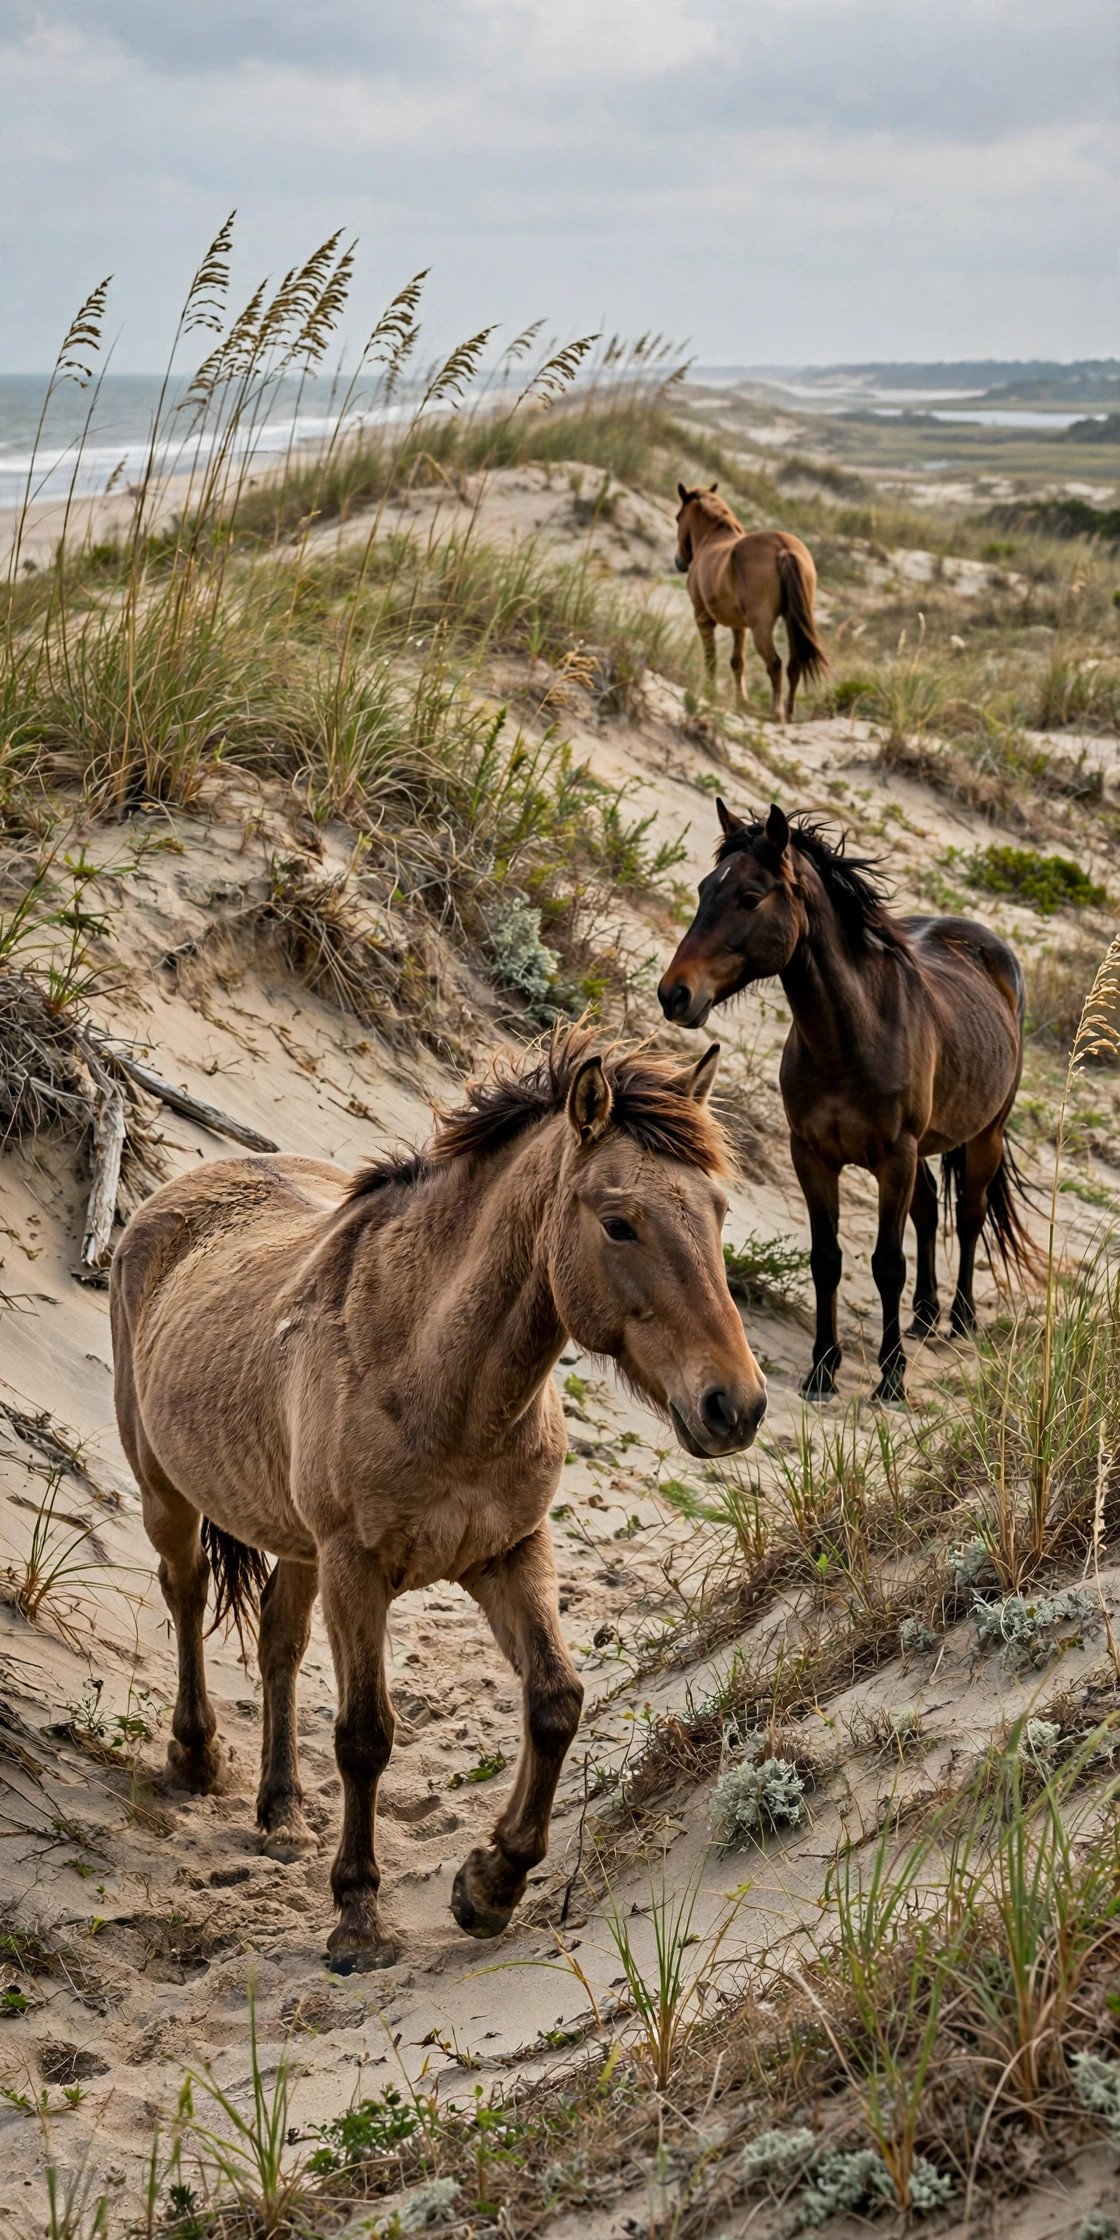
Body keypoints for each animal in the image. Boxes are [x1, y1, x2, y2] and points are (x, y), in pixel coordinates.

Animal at [110, 1030, 767, 1970]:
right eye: (619, 1222)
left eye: (715, 1212)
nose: (734, 1407)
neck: (430, 1371)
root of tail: (172, 1196)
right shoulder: (357, 1568)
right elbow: (364, 1736)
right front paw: (357, 1918)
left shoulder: (510, 1551)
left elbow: (556, 1700)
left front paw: (489, 1884)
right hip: (168, 1491)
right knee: (188, 1589)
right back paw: (197, 1759)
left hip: (300, 1542)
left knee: (277, 1642)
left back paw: (282, 1813)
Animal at [657, 803, 1036, 1405]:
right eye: (703, 889)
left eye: (750, 896)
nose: (675, 994)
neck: (850, 1040)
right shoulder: (812, 1156)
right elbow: (827, 1259)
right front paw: (822, 1370)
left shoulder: (894, 1159)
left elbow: (886, 1263)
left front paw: (891, 1377)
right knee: (929, 1209)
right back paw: (924, 1316)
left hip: (985, 1136)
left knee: (970, 1214)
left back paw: (960, 1319)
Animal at [674, 483, 827, 721]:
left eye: (678, 518)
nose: (679, 562)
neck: (712, 538)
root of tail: (783, 548)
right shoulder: (740, 626)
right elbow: (737, 662)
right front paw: (741, 702)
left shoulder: (703, 618)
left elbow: (711, 659)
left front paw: (710, 693)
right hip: (792, 621)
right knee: (793, 665)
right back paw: (789, 713)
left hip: (761, 627)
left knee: (774, 663)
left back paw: (776, 711)